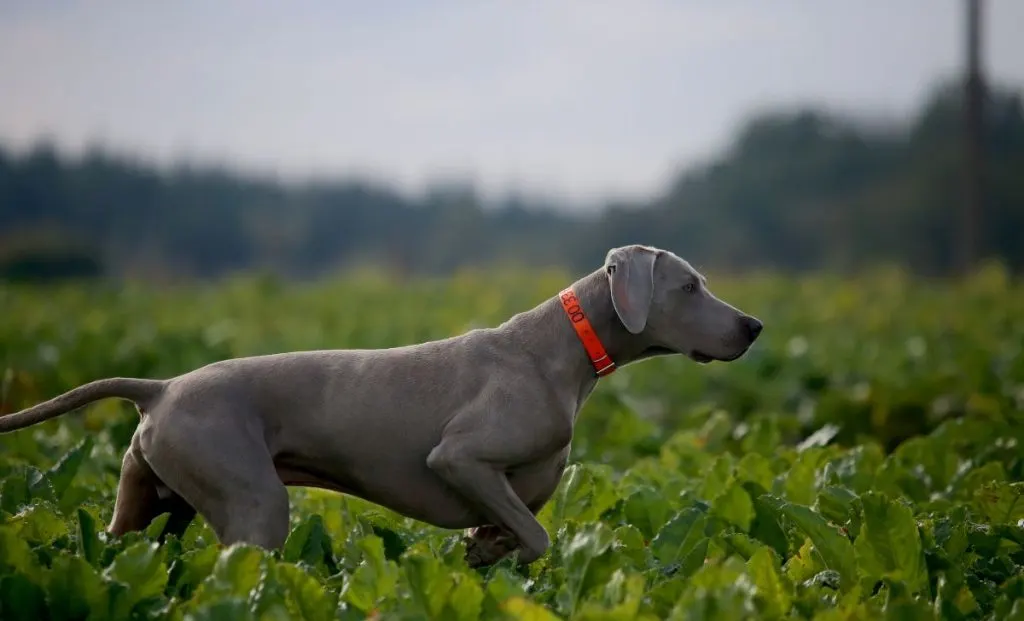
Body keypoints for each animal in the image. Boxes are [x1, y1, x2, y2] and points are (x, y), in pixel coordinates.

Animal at [0, 244, 761, 569]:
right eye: (690, 286)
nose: (754, 326)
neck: (564, 353)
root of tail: (159, 388)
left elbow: (513, 530)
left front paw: (486, 550)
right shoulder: (460, 458)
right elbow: (538, 535)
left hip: (150, 507)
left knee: (118, 552)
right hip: (254, 504)